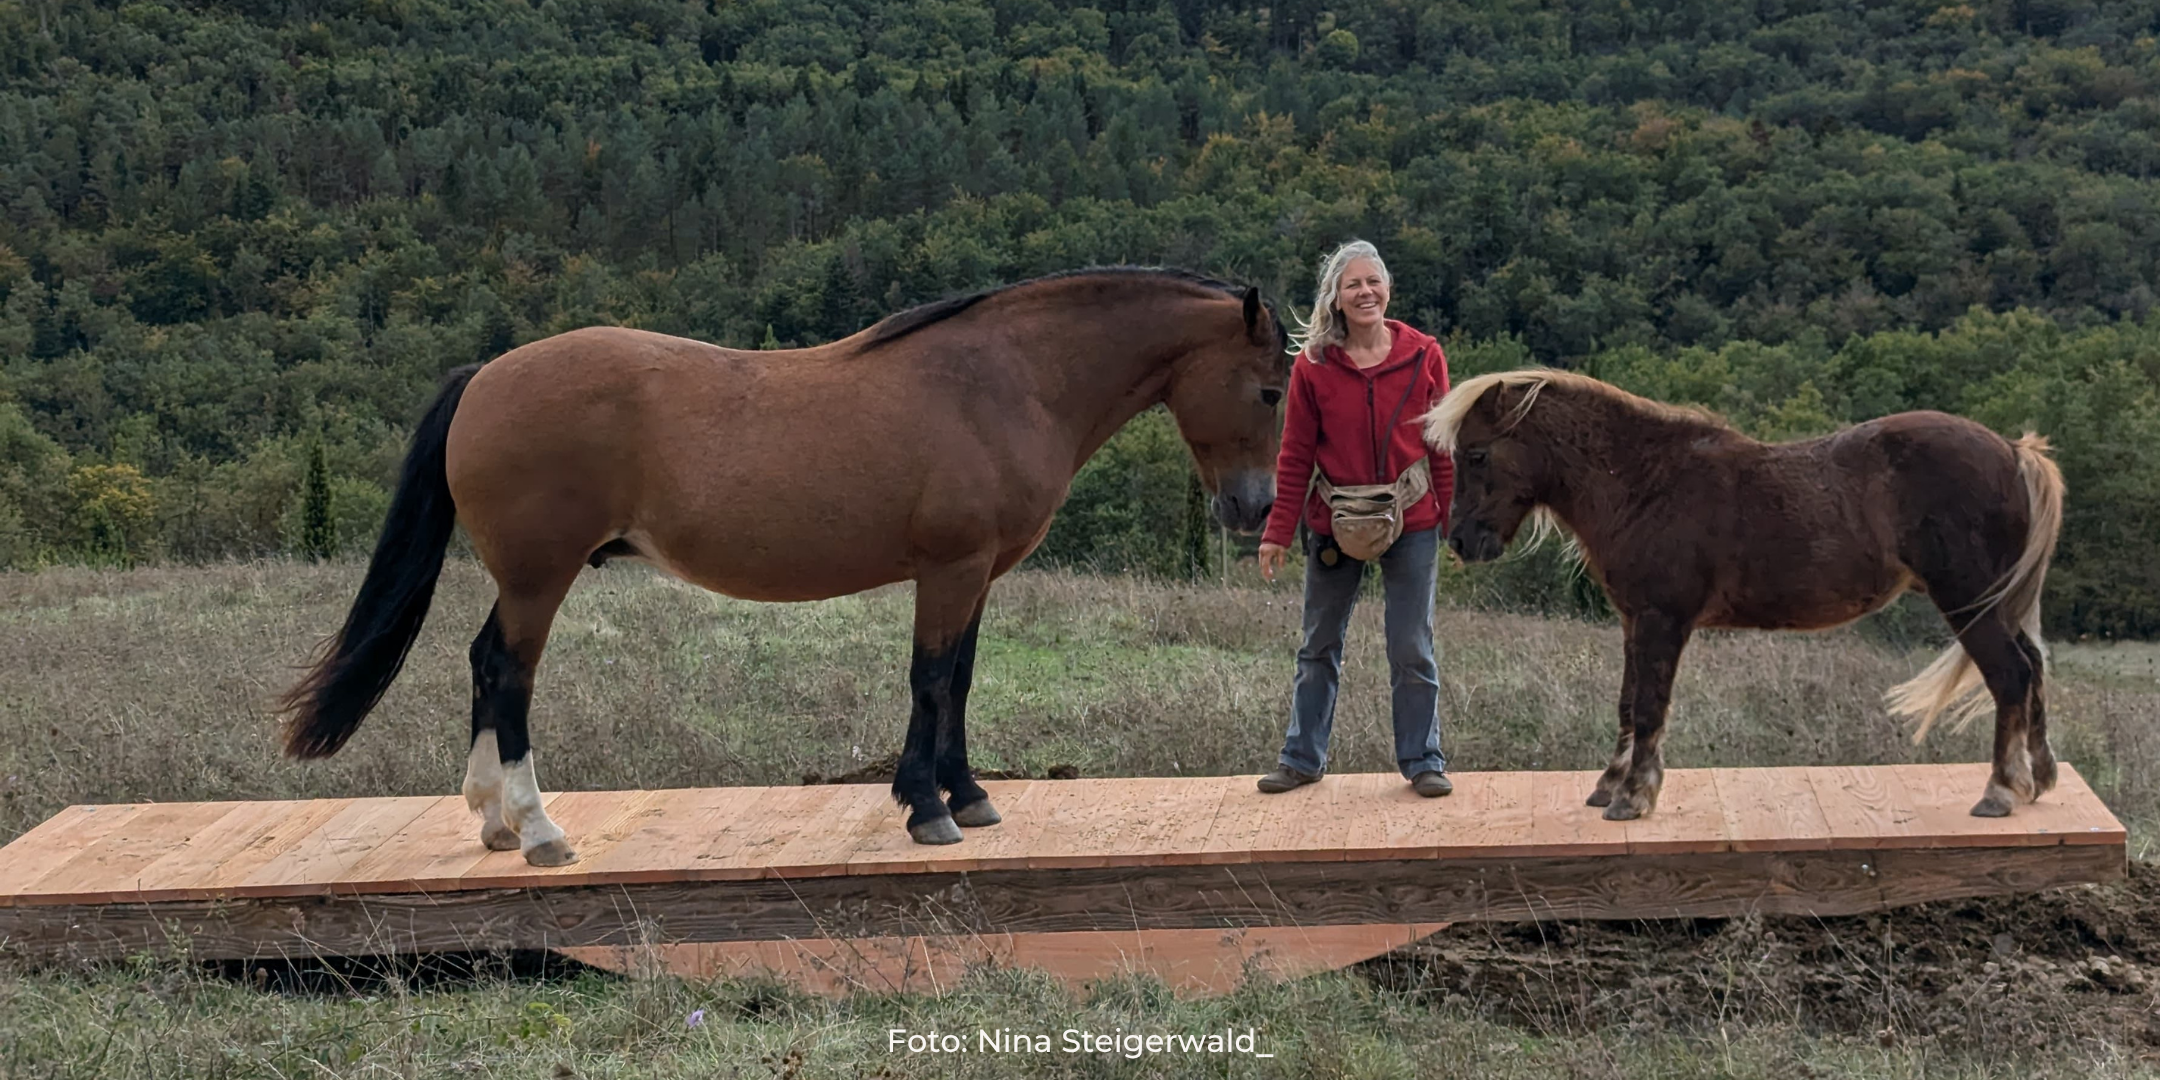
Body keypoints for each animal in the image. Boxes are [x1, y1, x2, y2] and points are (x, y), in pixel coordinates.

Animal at [277, 267, 1291, 864]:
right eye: (1272, 388)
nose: (1250, 512)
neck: (1004, 380)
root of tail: (486, 375)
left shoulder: (977, 578)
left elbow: (960, 680)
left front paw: (965, 793)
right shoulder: (951, 570)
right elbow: (931, 681)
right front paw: (927, 808)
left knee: (485, 668)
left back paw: (491, 819)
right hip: (539, 578)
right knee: (504, 670)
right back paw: (536, 827)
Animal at [1422, 369, 2064, 822]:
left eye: (1477, 454)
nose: (1462, 540)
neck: (1644, 482)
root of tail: (2013, 452)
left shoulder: (1662, 620)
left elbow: (1650, 707)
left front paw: (1633, 798)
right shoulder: (1634, 622)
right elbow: (1629, 705)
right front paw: (1610, 784)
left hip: (1969, 603)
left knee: (2010, 674)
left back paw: (2001, 791)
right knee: (2032, 668)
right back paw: (2038, 779)